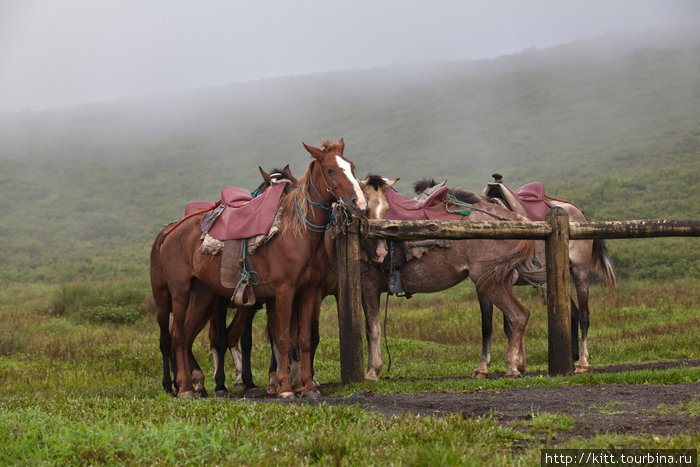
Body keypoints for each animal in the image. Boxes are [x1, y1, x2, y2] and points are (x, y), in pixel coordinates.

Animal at [154, 139, 366, 398]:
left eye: (352, 166)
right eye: (330, 170)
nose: (359, 203)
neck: (296, 234)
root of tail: (172, 231)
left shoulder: (309, 293)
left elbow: (305, 340)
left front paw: (307, 387)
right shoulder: (284, 293)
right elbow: (283, 339)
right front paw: (285, 388)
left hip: (203, 295)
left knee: (185, 337)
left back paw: (194, 385)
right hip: (179, 293)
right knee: (176, 336)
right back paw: (184, 388)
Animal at [358, 178, 540, 380]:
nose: (379, 252)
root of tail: (515, 219)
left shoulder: (368, 287)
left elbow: (372, 329)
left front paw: (372, 371)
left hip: (490, 283)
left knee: (519, 315)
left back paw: (510, 366)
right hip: (499, 282)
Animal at [412, 177, 616, 374]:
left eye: (430, 204)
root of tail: (581, 214)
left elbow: (507, 323)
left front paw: (510, 364)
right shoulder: (486, 286)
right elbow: (492, 325)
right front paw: (516, 364)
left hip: (580, 272)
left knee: (584, 315)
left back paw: (582, 362)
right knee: (571, 313)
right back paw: (572, 357)